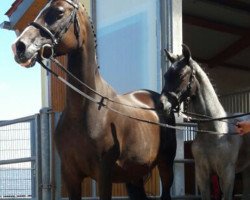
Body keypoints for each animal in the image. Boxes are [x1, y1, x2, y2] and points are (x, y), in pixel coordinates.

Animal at [11, 0, 176, 200]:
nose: (19, 46)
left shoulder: (104, 174)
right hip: (134, 174)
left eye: (59, 12)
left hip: (166, 165)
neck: (85, 109)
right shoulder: (71, 174)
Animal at [160, 44, 250, 199]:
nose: (162, 104)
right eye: (165, 76)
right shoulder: (202, 174)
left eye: (181, 75)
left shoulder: (227, 175)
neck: (215, 131)